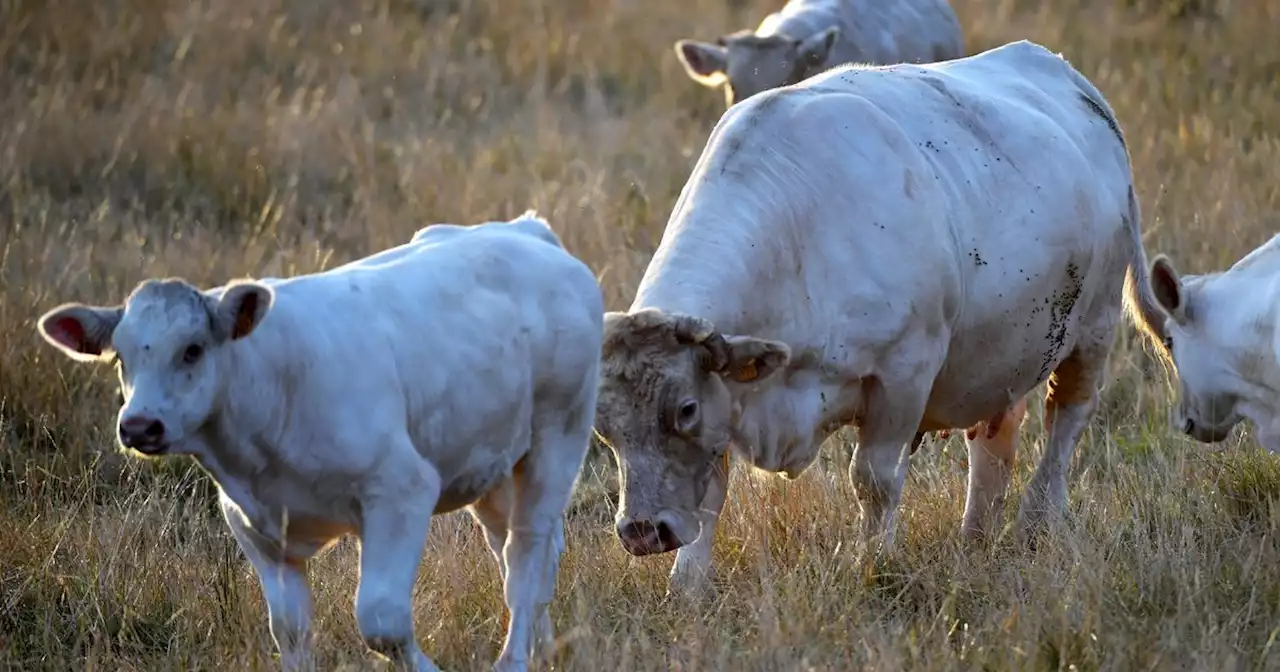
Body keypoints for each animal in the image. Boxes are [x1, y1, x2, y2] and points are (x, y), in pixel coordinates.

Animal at [35, 211, 604, 670]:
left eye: (192, 349)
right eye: (121, 357)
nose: (139, 425)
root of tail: (527, 231)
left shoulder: (400, 489)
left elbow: (382, 619)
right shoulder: (255, 527)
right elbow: (289, 630)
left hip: (559, 436)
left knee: (525, 558)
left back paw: (515, 659)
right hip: (493, 462)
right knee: (526, 552)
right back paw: (544, 650)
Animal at [588, 40, 1172, 596]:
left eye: (683, 408)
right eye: (602, 427)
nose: (642, 532)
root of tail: (1069, 78)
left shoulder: (903, 375)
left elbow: (873, 480)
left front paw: (871, 562)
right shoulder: (731, 397)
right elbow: (710, 492)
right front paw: (686, 584)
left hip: (1093, 329)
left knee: (1065, 421)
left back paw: (1039, 516)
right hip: (1002, 350)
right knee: (995, 439)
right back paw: (975, 535)